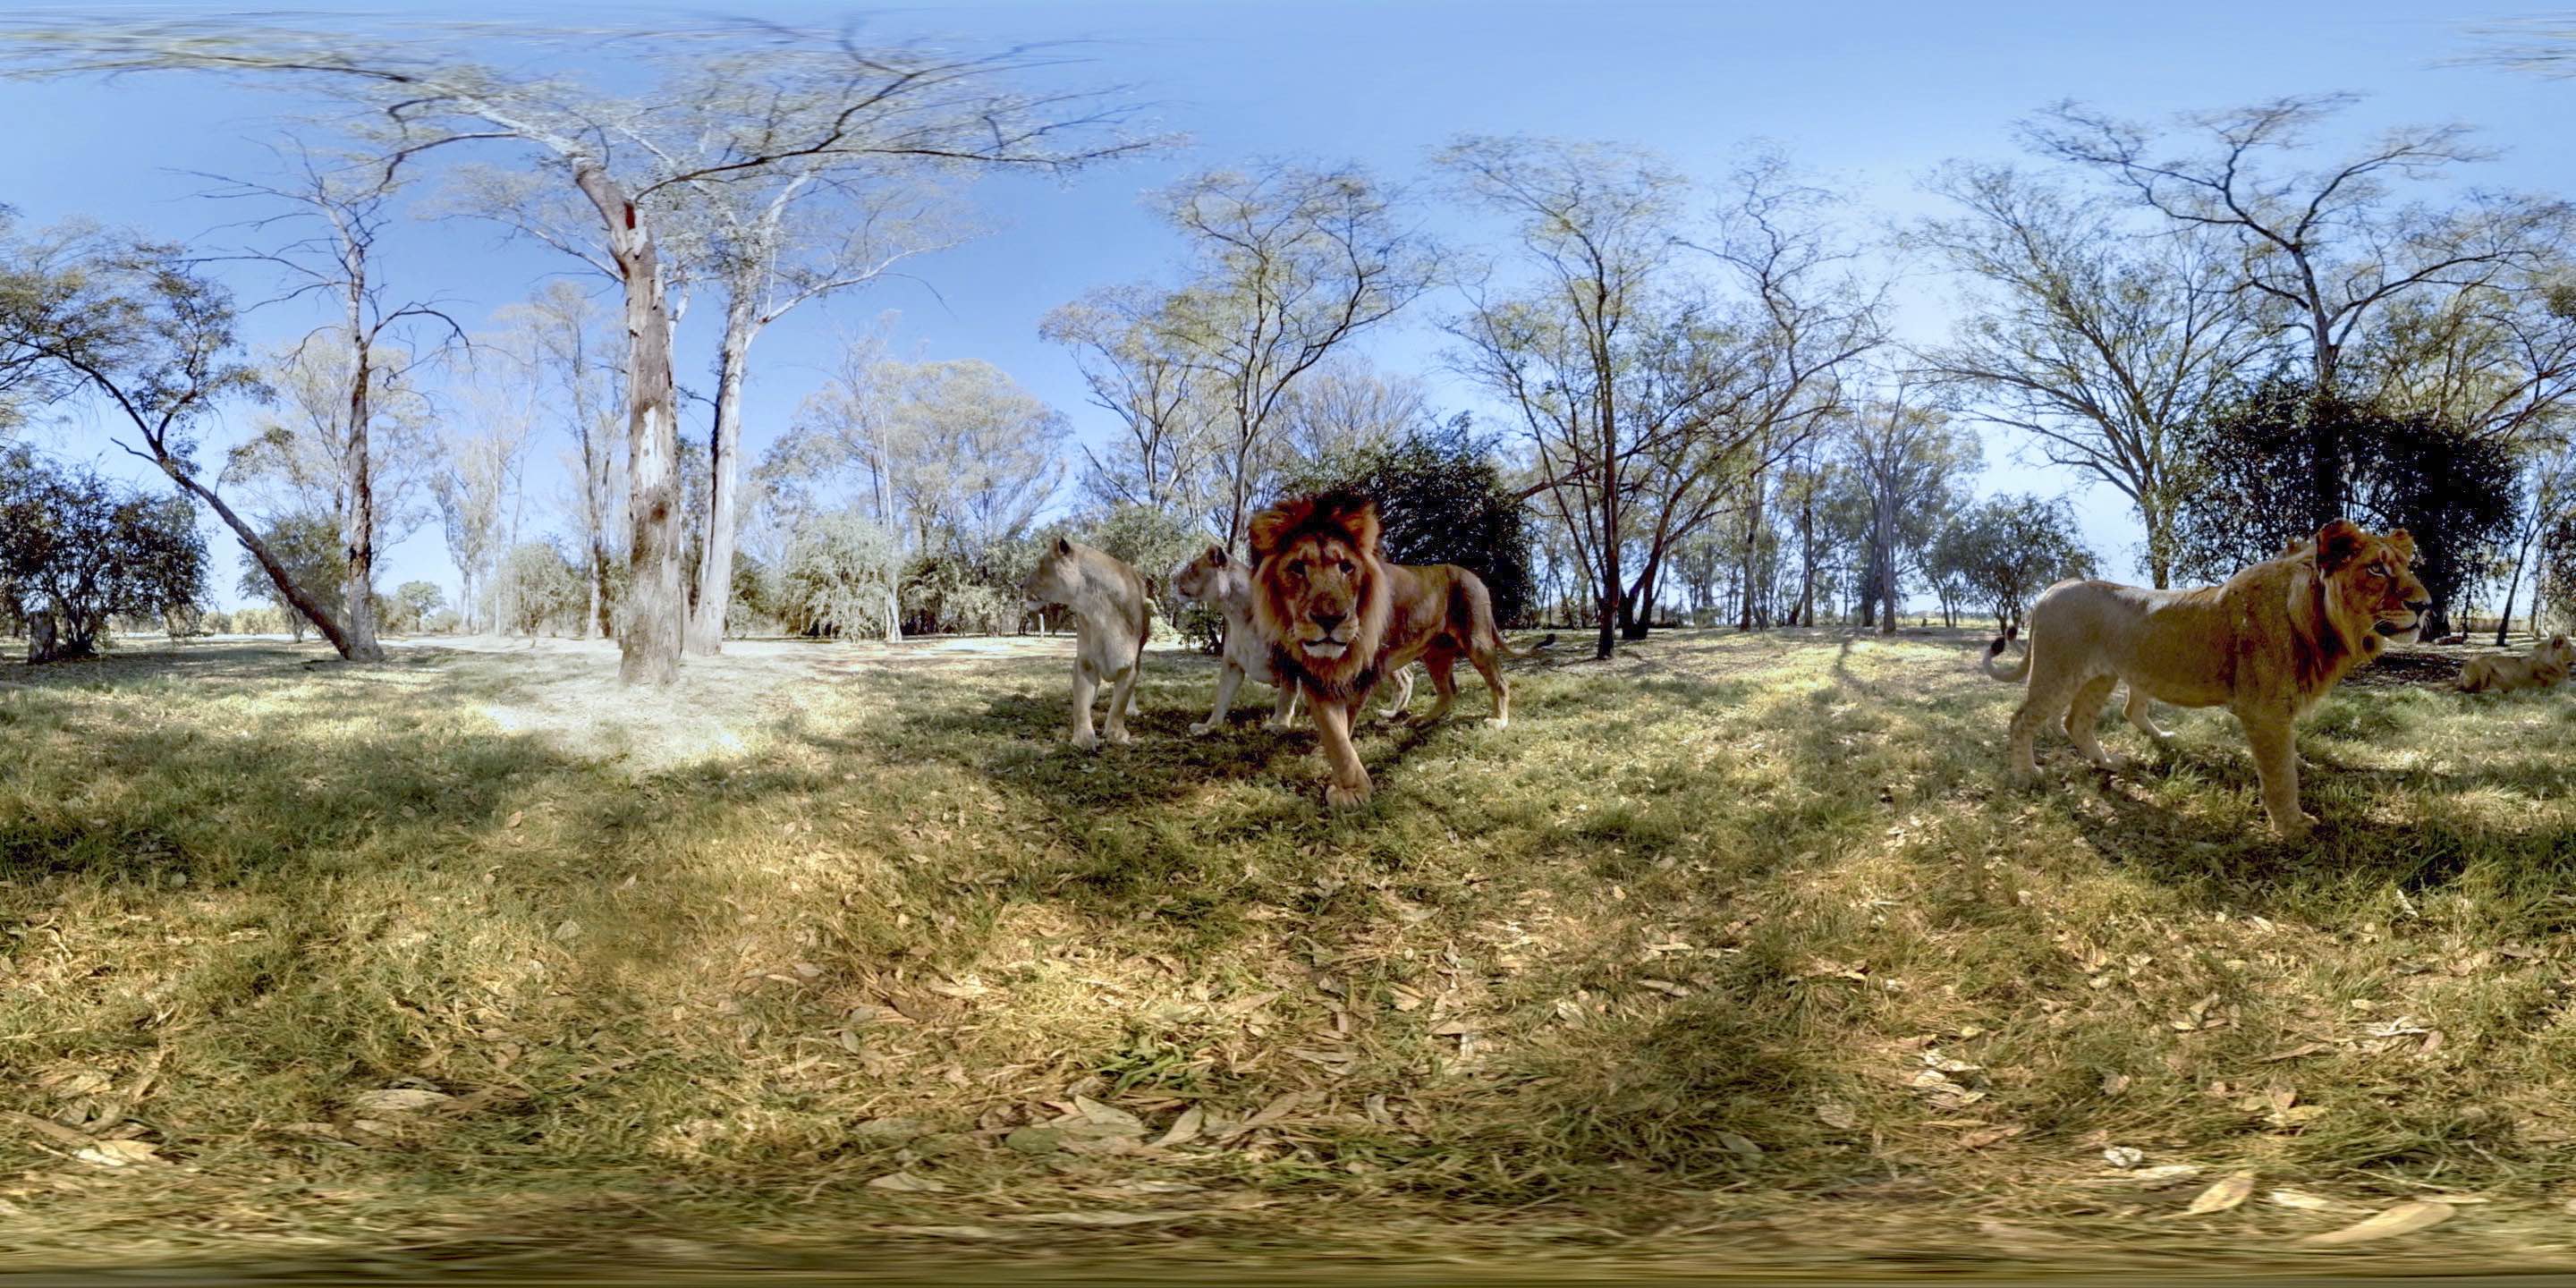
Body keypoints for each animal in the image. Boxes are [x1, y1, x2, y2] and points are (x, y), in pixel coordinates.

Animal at [1018, 537, 1148, 752]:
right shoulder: (1085, 663)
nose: (1020, 585)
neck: (1097, 608)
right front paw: (1084, 738)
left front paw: (1116, 733)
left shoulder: (1129, 666)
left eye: (1040, 564)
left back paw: (1132, 709)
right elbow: (1080, 705)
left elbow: (1120, 703)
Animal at [1172, 545, 1416, 734]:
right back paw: (1393, 712)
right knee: (1406, 677)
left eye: (1191, 568)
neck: (1236, 614)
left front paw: (1278, 725)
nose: (1173, 580)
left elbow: (1285, 697)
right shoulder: (1232, 665)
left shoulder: (1290, 662)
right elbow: (1221, 698)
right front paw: (1208, 726)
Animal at [1248, 490, 1548, 807]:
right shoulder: (1314, 675)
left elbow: (1344, 726)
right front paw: (1336, 768)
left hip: (1476, 641)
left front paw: (1350, 791)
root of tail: (1474, 576)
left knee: (1500, 682)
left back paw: (1498, 720)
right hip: (1435, 653)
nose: (1329, 619)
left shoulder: (1364, 673)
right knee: (1449, 691)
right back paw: (1422, 719)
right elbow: (1333, 729)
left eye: (1346, 567)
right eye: (1297, 568)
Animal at [1982, 519, 2427, 841]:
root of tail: (2053, 587)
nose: (2426, 605)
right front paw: (2292, 827)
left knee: (2077, 721)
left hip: (2098, 677)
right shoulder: (2263, 712)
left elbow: (2289, 759)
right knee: (2021, 719)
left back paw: (2106, 762)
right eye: (2376, 568)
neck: (2322, 624)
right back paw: (2027, 776)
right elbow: (2281, 774)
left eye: (2406, 567)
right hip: (2058, 670)